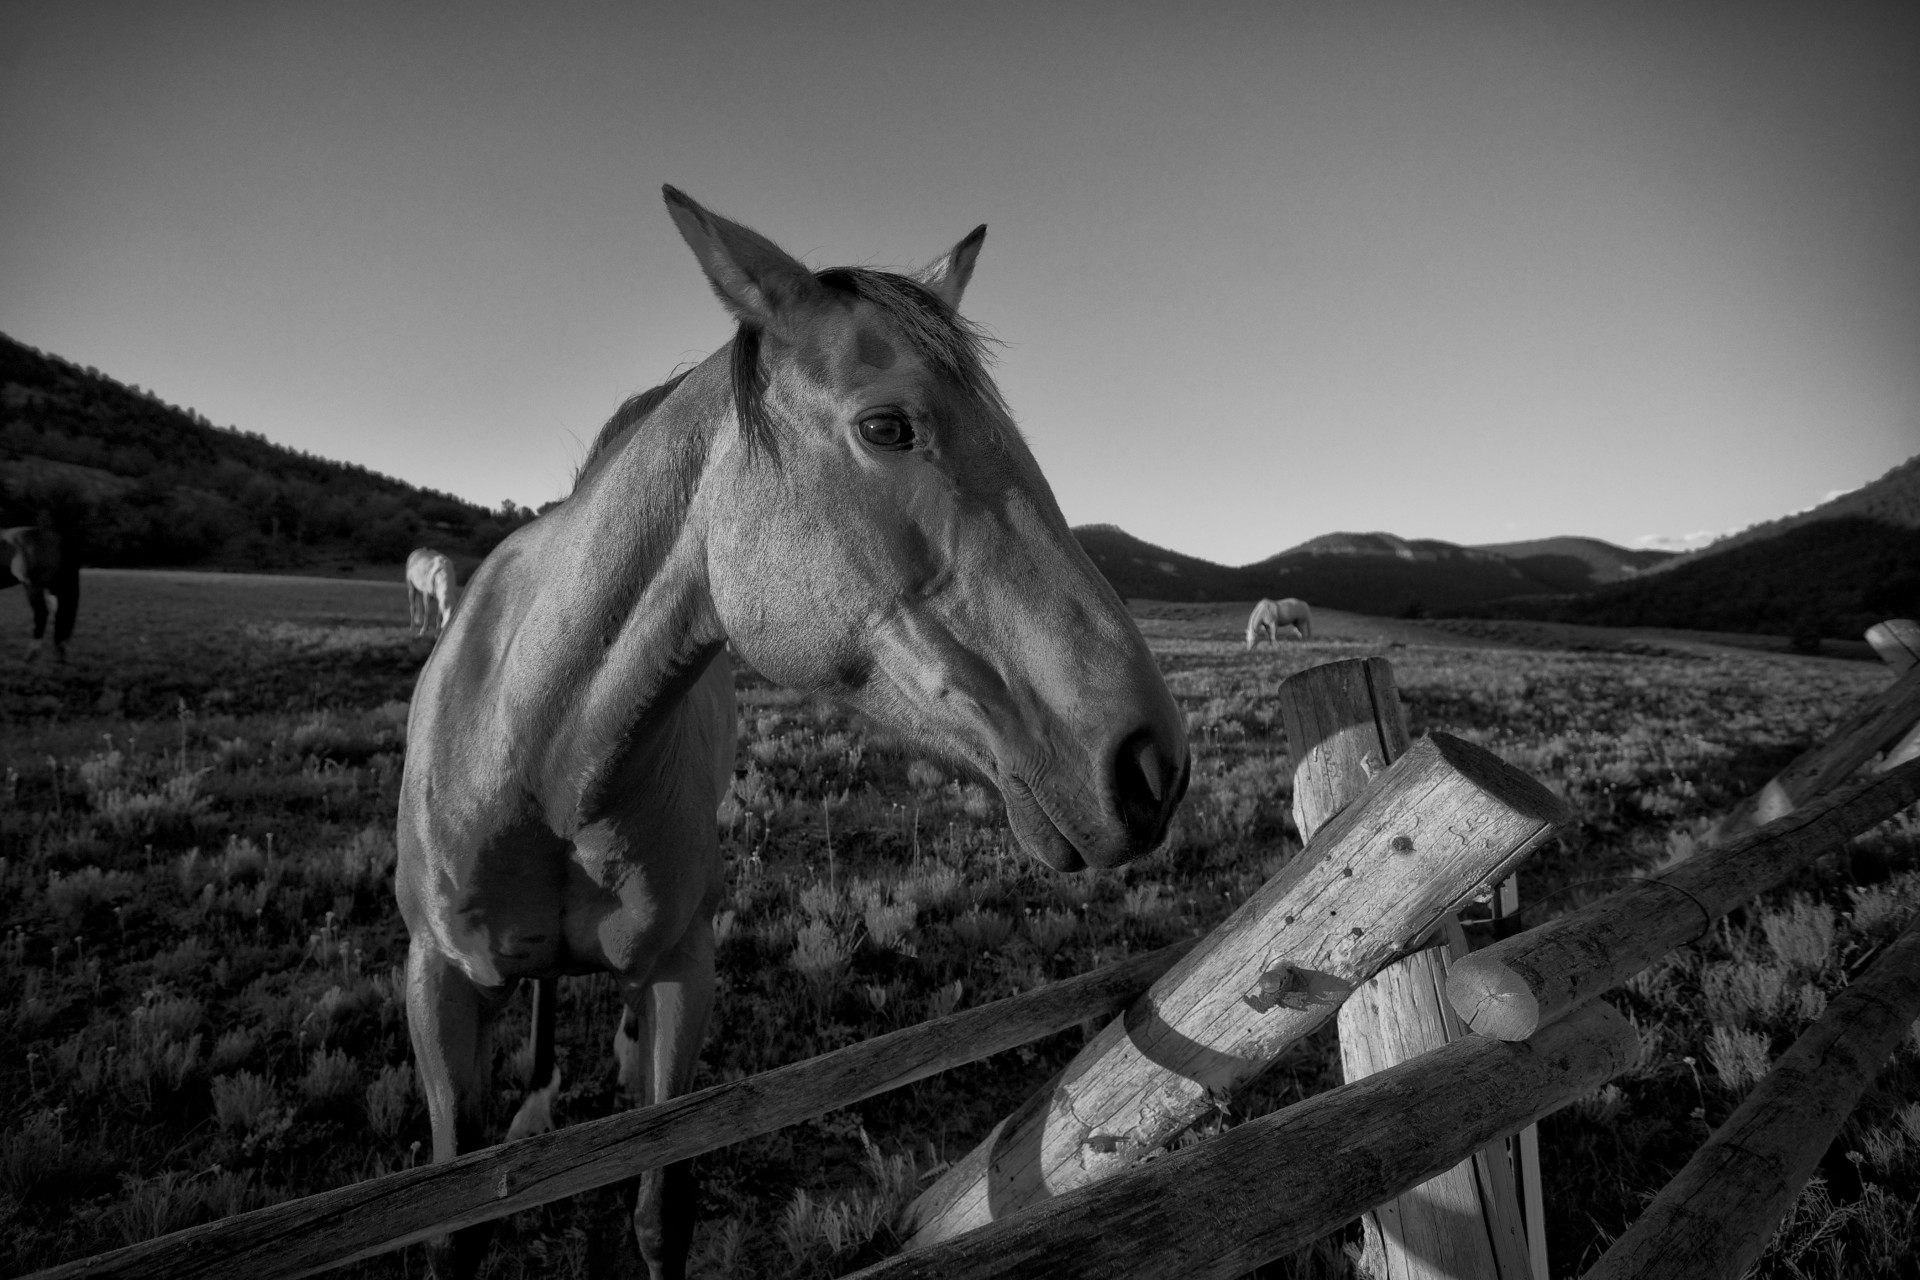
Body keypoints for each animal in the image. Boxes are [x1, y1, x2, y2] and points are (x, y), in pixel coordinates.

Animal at [397, 188, 1190, 1280]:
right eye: (888, 425)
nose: (1152, 761)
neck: (544, 763)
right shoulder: (434, 982)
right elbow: (455, 1228)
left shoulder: (685, 969)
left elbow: (662, 1209)